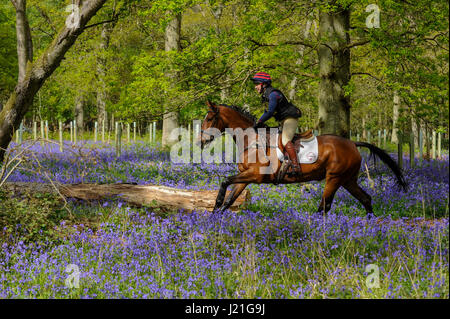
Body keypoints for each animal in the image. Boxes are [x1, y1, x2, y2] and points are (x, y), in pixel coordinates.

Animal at [198, 101, 408, 216]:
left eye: (209, 119)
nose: (201, 141)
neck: (252, 140)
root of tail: (353, 144)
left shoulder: (255, 176)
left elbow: (225, 183)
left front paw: (215, 208)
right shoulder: (245, 178)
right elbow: (230, 199)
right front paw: (215, 217)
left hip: (334, 178)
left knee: (324, 206)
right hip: (347, 179)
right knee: (365, 199)